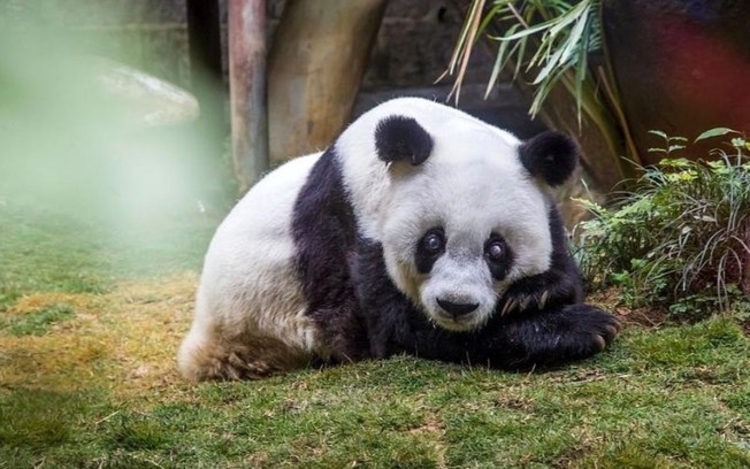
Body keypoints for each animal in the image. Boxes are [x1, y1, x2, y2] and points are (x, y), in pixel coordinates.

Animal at [179, 96, 620, 380]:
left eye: (497, 249)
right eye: (432, 242)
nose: (456, 305)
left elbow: (562, 263)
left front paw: (535, 293)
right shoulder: (353, 225)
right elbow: (397, 330)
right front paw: (581, 327)